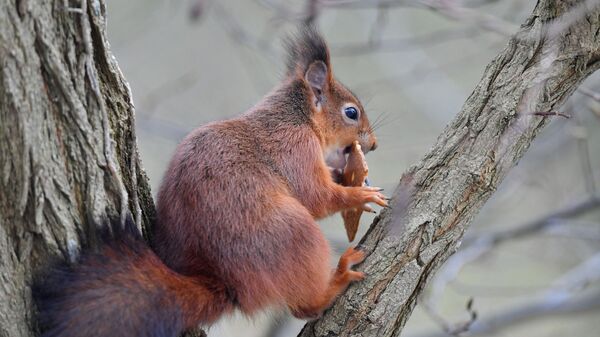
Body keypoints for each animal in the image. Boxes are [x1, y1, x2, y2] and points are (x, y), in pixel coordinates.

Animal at [32, 26, 386, 336]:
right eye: (351, 113)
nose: (373, 144)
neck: (295, 117)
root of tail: (227, 283)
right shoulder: (294, 148)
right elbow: (316, 197)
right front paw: (359, 194)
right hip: (295, 235)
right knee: (303, 305)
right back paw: (336, 280)